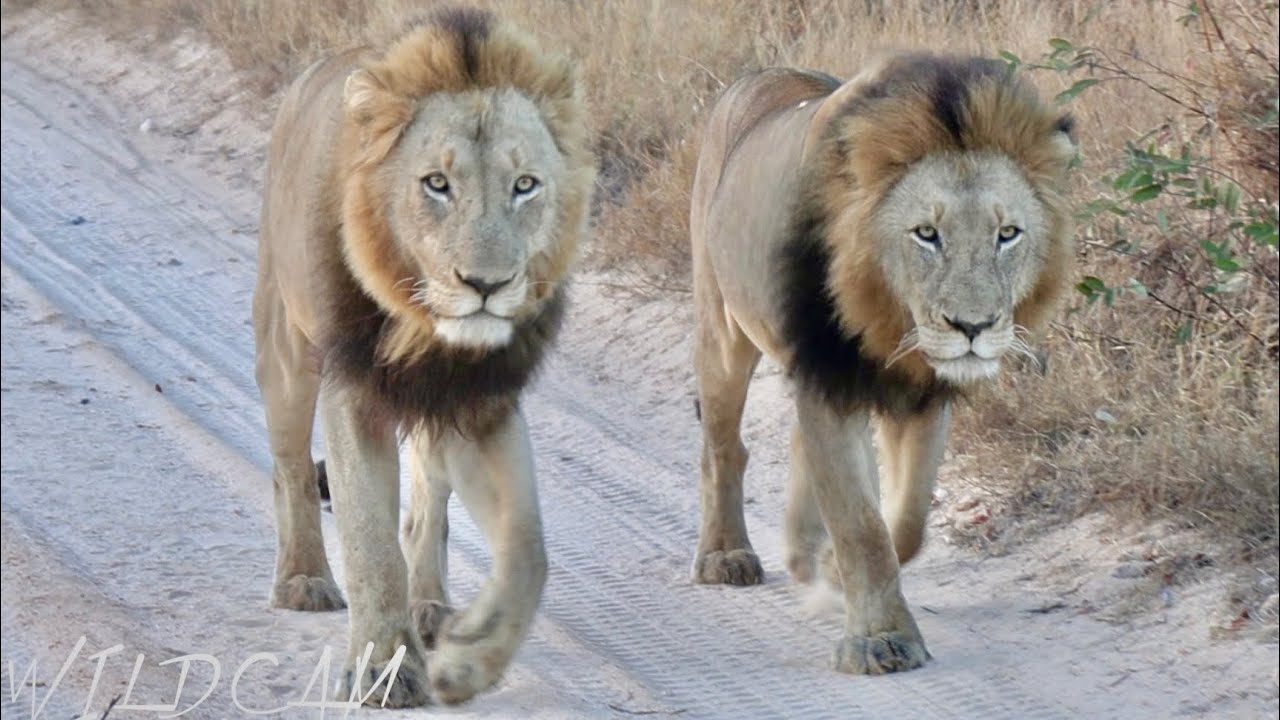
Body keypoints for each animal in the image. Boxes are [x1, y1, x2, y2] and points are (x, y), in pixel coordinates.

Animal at [252, 7, 594, 707]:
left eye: (525, 186)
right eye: (437, 184)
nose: (487, 284)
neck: (429, 335)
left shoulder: (482, 403)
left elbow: (527, 549)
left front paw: (472, 657)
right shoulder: (355, 391)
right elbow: (369, 541)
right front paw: (383, 668)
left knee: (427, 506)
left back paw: (431, 605)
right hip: (286, 347)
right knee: (291, 467)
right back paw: (303, 579)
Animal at [688, 54, 1075, 674]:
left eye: (1008, 234)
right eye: (927, 234)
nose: (973, 328)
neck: (890, 321)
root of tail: (760, 74)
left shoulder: (921, 395)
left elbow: (907, 521)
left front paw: (832, 571)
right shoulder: (828, 378)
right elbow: (861, 526)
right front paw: (880, 640)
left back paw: (804, 552)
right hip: (722, 324)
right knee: (722, 447)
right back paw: (726, 555)